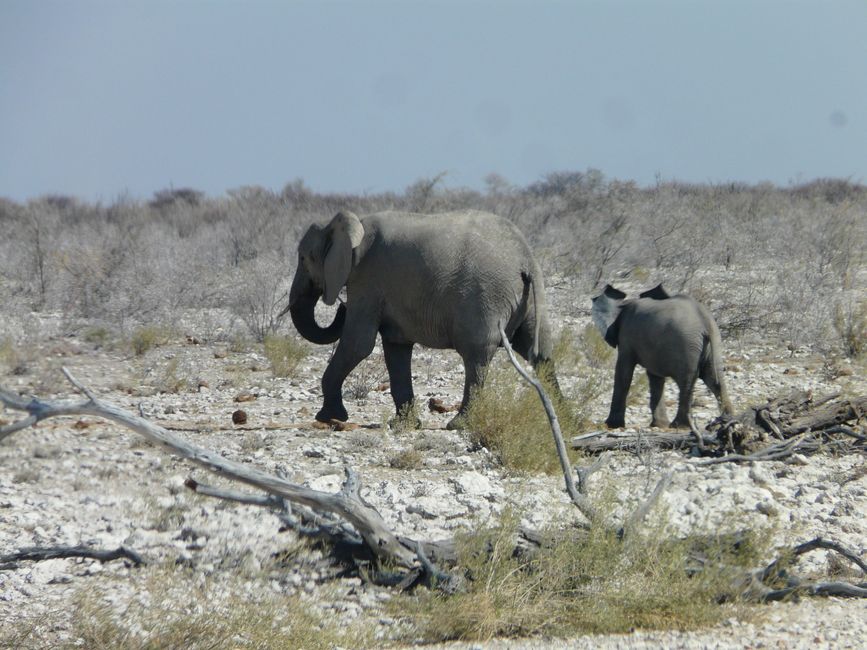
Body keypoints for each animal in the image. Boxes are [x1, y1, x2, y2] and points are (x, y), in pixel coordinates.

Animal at [284, 210, 556, 428]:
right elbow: (396, 348)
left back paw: (458, 425)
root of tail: (524, 257)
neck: (353, 225)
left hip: (487, 295)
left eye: (303, 258)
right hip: (531, 297)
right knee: (539, 352)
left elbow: (358, 344)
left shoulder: (367, 280)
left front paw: (328, 417)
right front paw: (403, 425)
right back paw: (562, 417)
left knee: (476, 356)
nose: (342, 307)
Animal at [588, 282, 732, 426]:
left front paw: (612, 425)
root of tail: (705, 322)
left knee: (686, 381)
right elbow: (655, 378)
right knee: (714, 379)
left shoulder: (626, 338)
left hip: (686, 346)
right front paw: (660, 425)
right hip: (713, 345)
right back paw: (726, 419)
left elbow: (624, 373)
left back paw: (679, 425)